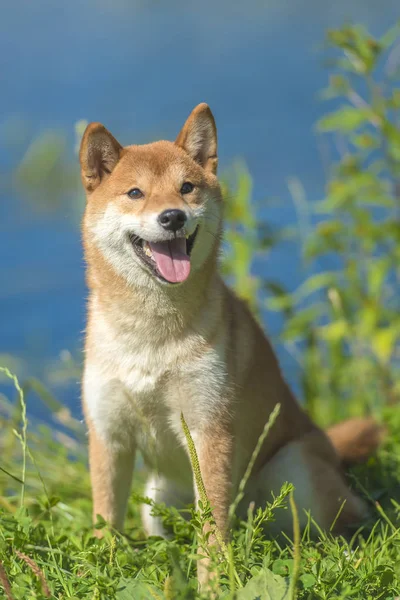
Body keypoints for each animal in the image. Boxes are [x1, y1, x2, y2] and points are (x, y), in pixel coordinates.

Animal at [78, 103, 382, 584]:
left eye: (186, 188)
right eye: (135, 193)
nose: (172, 217)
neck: (149, 334)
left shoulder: (209, 429)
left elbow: (212, 524)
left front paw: (213, 582)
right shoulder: (109, 436)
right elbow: (105, 517)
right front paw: (102, 570)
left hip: (293, 474)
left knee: (345, 517)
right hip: (158, 497)